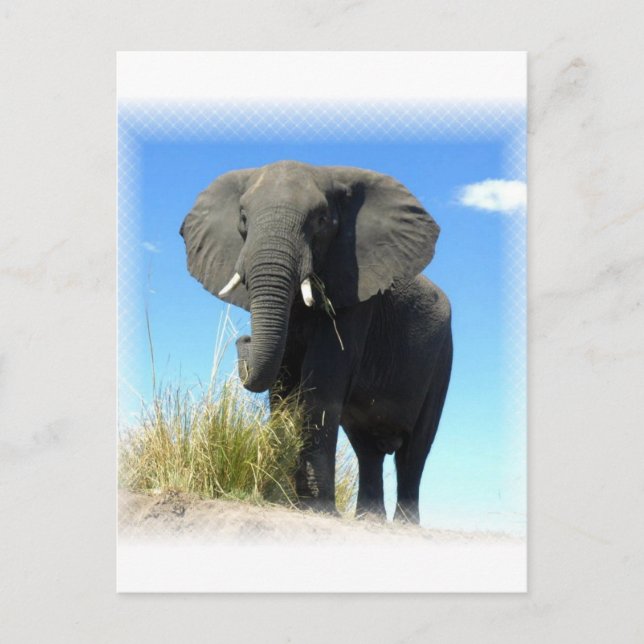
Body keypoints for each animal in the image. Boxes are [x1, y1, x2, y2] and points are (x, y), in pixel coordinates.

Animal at [180, 160, 452, 523]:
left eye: (322, 221)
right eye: (243, 218)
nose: (244, 338)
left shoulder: (356, 291)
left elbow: (323, 377)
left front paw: (315, 508)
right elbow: (282, 382)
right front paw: (282, 499)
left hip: (442, 357)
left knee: (414, 449)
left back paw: (404, 526)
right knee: (367, 448)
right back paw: (368, 519)